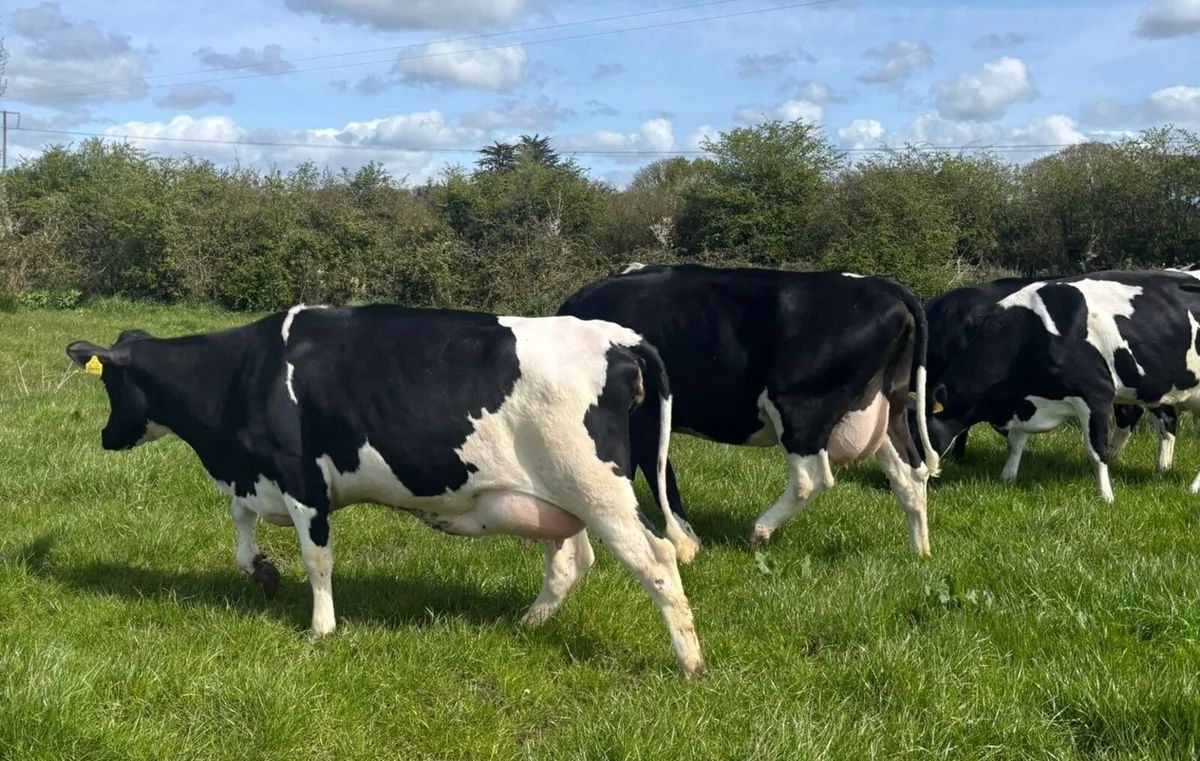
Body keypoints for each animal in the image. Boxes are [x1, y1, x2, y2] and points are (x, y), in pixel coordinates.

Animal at [65, 304, 708, 677]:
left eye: (111, 384)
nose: (105, 437)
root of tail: (616, 335)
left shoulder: (301, 480)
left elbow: (317, 559)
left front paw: (321, 628)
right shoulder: (257, 475)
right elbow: (240, 527)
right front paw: (262, 572)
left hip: (596, 486)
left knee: (656, 560)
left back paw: (691, 663)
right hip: (552, 499)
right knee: (572, 560)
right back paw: (526, 624)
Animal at [557, 263, 941, 556]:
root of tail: (879, 284)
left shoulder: (647, 417)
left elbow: (658, 472)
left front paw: (684, 538)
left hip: (800, 406)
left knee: (811, 478)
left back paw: (759, 530)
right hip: (887, 409)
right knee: (910, 474)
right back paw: (920, 552)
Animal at [923, 268, 1200, 503]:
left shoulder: (1095, 394)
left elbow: (1096, 451)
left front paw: (1106, 497)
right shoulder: (1023, 401)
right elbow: (1016, 442)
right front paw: (1007, 477)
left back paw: (1191, 487)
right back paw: (1164, 470)